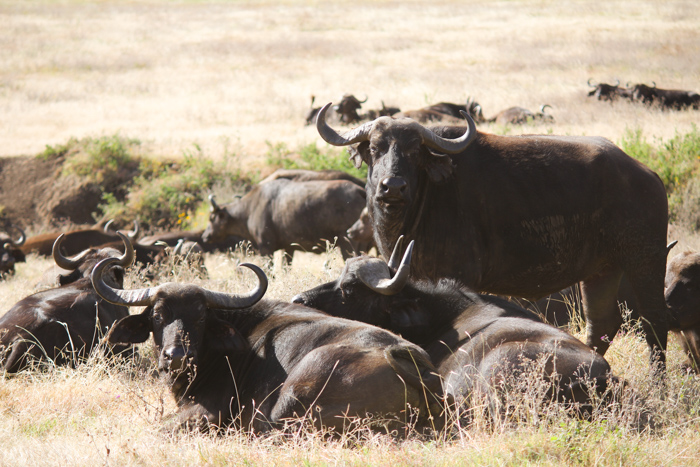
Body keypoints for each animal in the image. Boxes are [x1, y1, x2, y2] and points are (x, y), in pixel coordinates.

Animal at [94, 258, 442, 434]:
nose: (177, 355)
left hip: (294, 393)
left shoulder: (208, 412)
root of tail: (408, 359)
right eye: (157, 315)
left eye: (201, 315)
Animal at [202, 178, 366, 260]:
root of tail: (359, 190)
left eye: (211, 218)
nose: (205, 236)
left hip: (347, 244)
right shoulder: (288, 249)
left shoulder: (266, 248)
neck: (250, 208)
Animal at [314, 103, 668, 372]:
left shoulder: (460, 275)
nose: (393, 187)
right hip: (601, 272)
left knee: (654, 323)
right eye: (376, 148)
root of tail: (648, 176)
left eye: (415, 152)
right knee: (602, 324)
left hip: (645, 260)